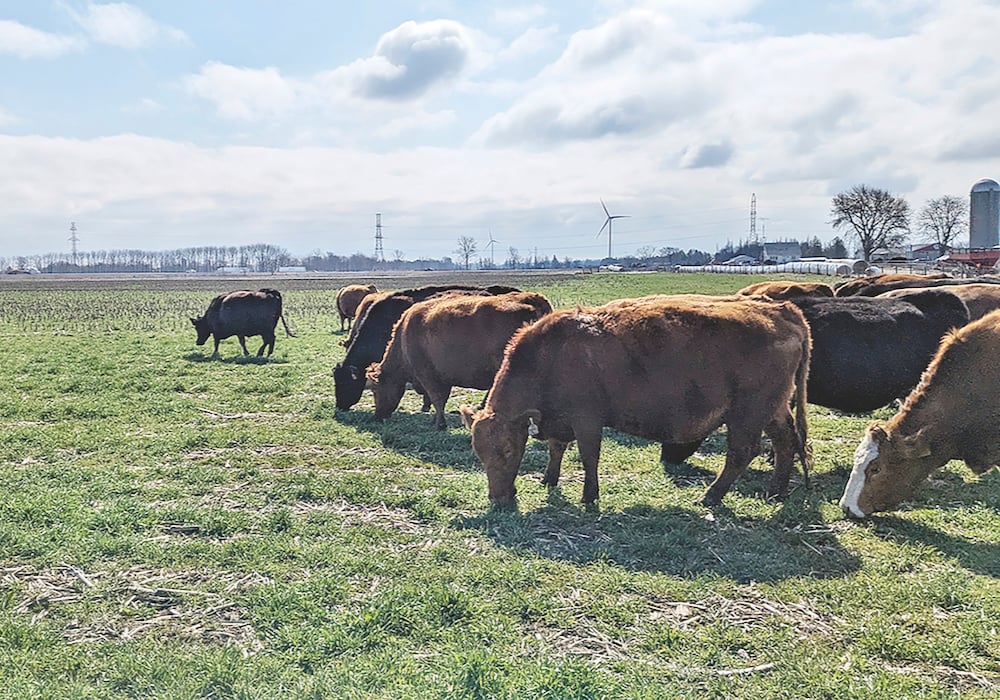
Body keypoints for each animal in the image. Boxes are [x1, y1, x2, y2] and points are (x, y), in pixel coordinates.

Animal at [368, 292, 556, 432]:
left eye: (375, 390)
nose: (376, 417)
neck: (403, 337)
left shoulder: (429, 376)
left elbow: (438, 399)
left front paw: (439, 424)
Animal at [460, 292, 812, 506]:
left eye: (508, 450)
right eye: (478, 451)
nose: (498, 498)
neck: (551, 355)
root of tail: (783, 311)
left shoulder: (587, 419)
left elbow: (589, 456)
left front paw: (589, 495)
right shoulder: (557, 418)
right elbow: (556, 448)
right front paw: (549, 478)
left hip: (749, 413)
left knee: (742, 452)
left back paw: (712, 496)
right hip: (774, 409)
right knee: (786, 442)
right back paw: (776, 490)